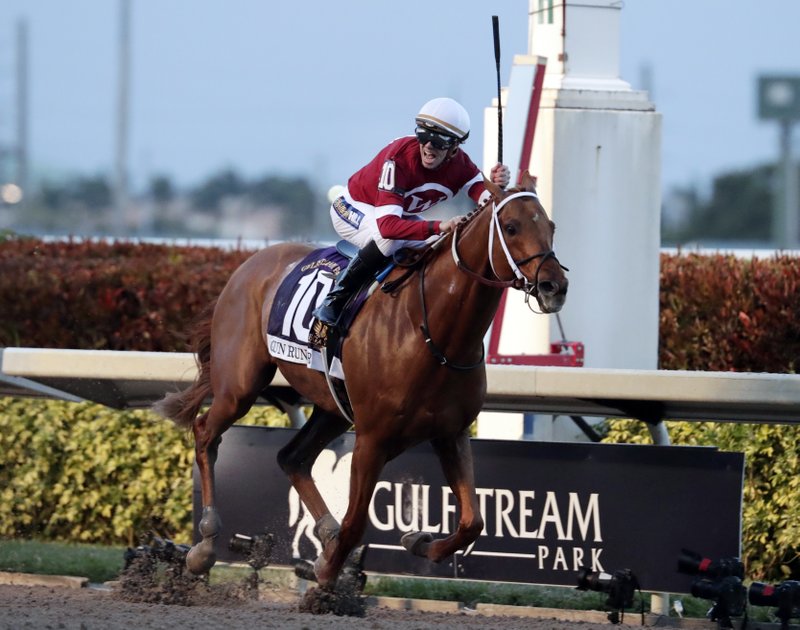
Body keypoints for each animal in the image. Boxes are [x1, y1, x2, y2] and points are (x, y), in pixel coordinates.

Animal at [155, 172, 568, 592]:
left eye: (551, 226)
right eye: (512, 227)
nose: (554, 287)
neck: (433, 332)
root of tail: (247, 265)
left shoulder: (450, 433)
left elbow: (472, 521)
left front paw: (417, 541)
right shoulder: (372, 438)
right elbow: (355, 524)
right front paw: (325, 575)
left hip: (332, 407)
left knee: (292, 458)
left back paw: (324, 533)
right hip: (239, 385)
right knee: (206, 432)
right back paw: (206, 544)